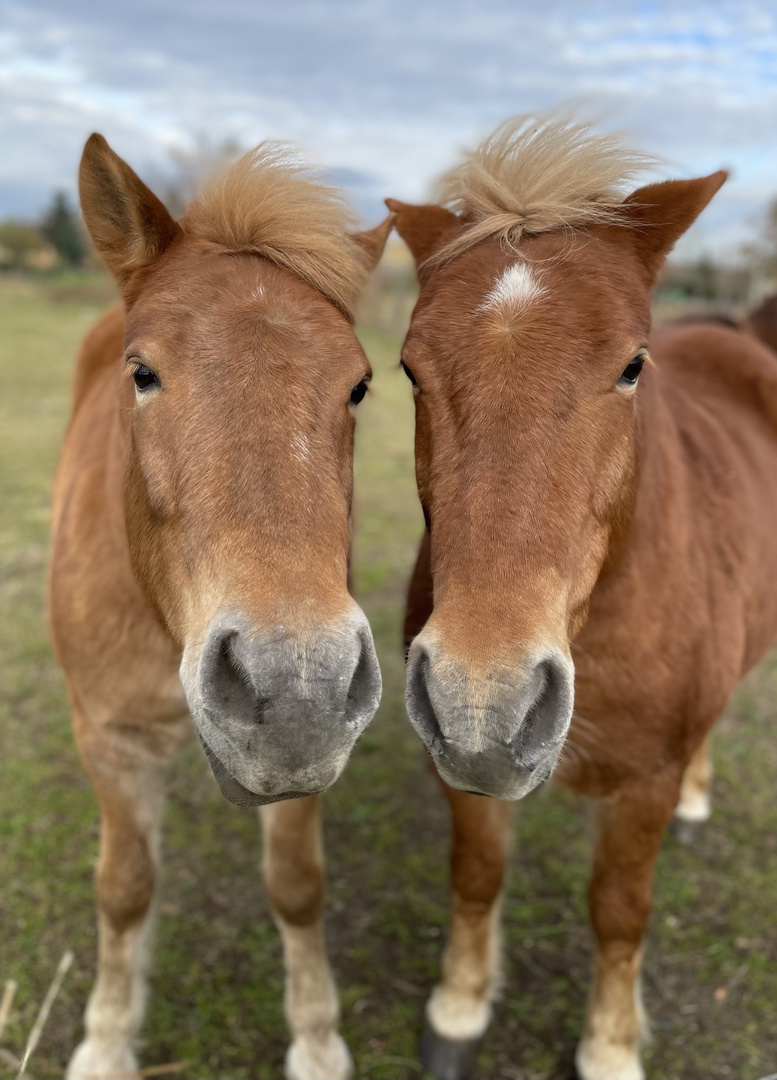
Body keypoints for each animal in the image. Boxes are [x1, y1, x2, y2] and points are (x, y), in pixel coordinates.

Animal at [53, 135, 395, 1080]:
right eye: (142, 373)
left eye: (359, 387)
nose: (296, 685)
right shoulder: (110, 740)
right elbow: (123, 889)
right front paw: (105, 1040)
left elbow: (297, 888)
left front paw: (316, 1038)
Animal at [391, 111, 777, 1080]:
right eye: (409, 370)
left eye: (633, 365)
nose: (483, 695)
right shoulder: (463, 764)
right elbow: (476, 877)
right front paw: (458, 1009)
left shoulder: (642, 785)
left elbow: (617, 912)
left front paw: (608, 1045)